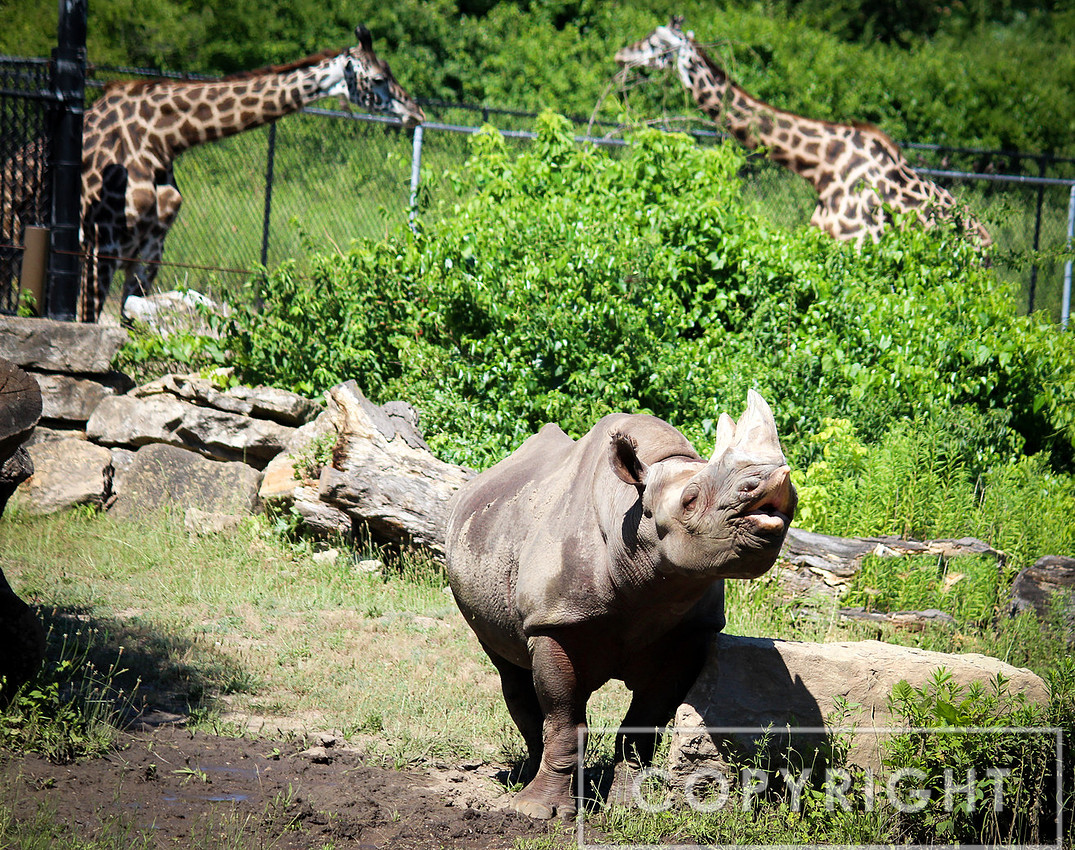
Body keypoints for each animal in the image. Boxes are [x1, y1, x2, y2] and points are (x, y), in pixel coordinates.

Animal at [445, 391, 796, 819]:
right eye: (690, 499)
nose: (774, 486)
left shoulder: (690, 632)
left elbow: (643, 722)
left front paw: (633, 806)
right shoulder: (553, 622)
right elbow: (564, 721)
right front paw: (538, 811)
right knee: (509, 669)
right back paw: (524, 779)